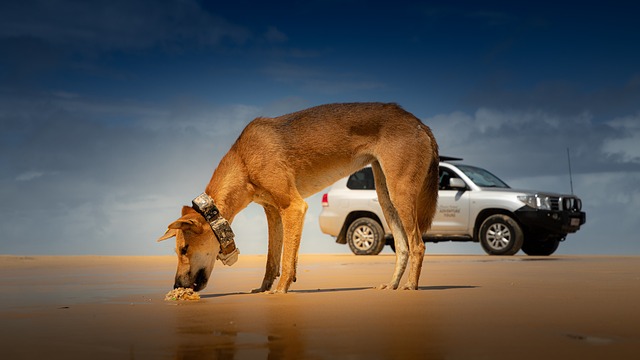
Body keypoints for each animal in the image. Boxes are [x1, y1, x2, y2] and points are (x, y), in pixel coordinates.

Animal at [158, 101, 438, 292]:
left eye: (184, 249)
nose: (176, 286)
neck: (244, 161)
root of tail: (419, 122)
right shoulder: (273, 212)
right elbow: (272, 259)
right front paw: (263, 289)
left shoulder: (293, 207)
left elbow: (286, 258)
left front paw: (280, 290)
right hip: (386, 196)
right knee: (403, 247)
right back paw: (392, 286)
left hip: (400, 193)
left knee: (418, 245)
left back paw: (410, 286)